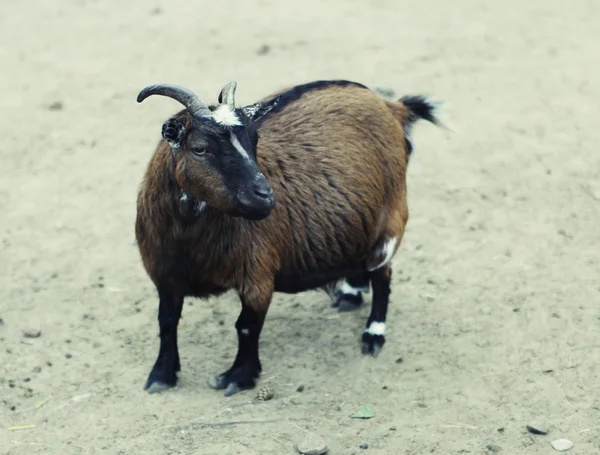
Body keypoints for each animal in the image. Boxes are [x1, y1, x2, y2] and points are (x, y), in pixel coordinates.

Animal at [134, 80, 438, 398]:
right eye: (199, 148)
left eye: (254, 140)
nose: (265, 197)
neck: (190, 242)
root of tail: (391, 107)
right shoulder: (164, 275)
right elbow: (167, 322)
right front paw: (161, 375)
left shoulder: (258, 275)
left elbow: (246, 326)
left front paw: (238, 376)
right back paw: (350, 294)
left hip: (391, 217)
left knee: (382, 275)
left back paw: (373, 335)